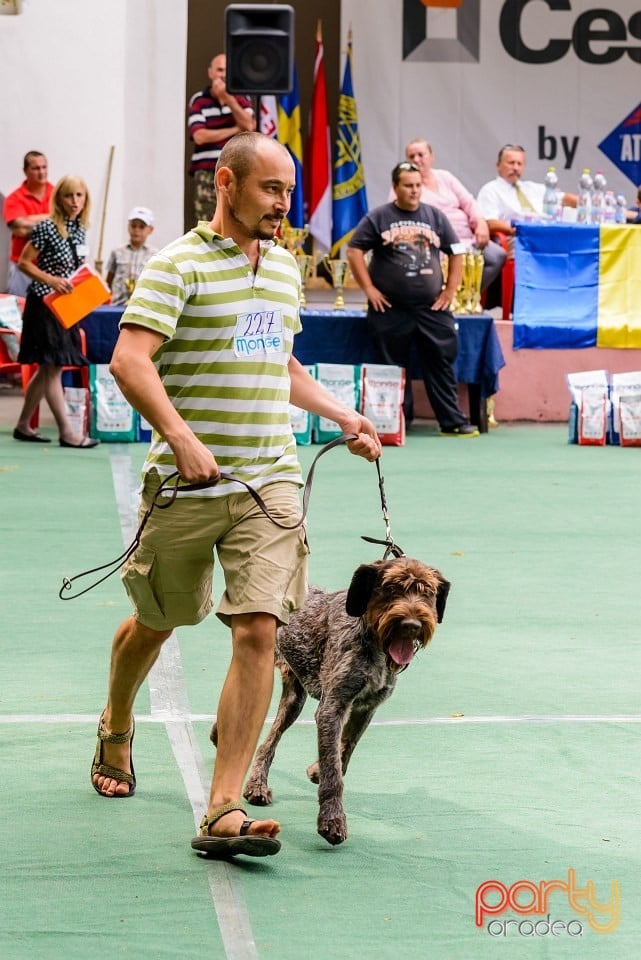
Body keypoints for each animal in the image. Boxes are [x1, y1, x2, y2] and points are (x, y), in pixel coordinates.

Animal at [221, 560, 450, 844]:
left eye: (427, 592)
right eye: (390, 588)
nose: (411, 625)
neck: (373, 641)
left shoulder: (365, 708)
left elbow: (345, 748)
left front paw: (318, 770)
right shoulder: (333, 706)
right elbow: (334, 772)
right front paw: (332, 819)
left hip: (294, 697)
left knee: (267, 740)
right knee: (265, 739)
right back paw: (255, 784)